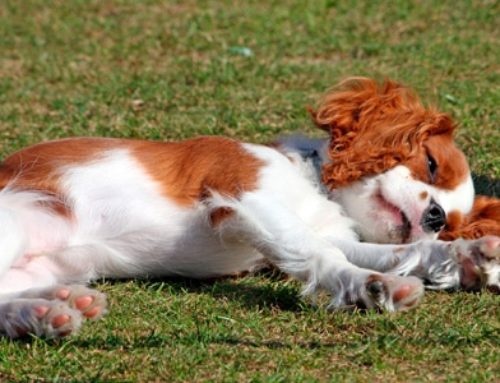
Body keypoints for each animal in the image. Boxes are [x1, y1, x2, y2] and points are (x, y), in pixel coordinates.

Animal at [0, 77, 500, 340]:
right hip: (17, 223)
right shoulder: (243, 194)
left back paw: (46, 312)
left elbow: (390, 252)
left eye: (450, 226)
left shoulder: (322, 232)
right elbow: (321, 254)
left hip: (45, 265)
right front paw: (371, 286)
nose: (436, 219)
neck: (314, 186)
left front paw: (467, 258)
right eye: (430, 164)